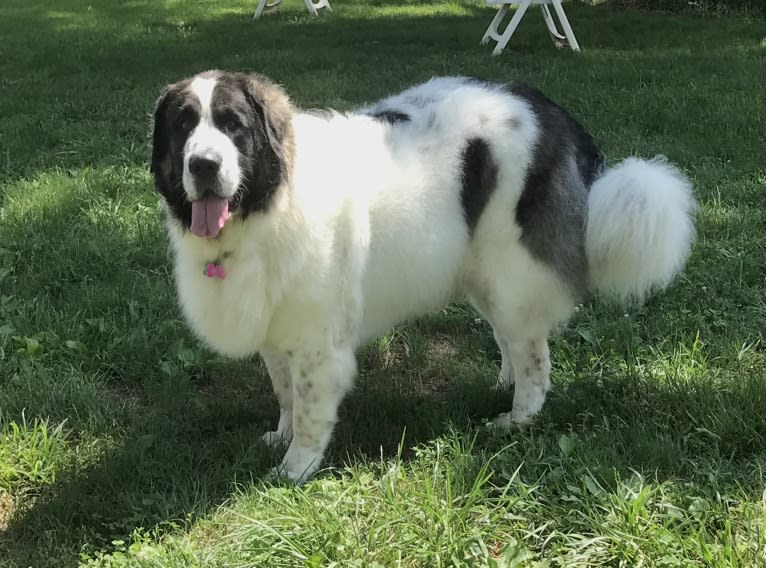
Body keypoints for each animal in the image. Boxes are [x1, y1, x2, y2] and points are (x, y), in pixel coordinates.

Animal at [150, 69, 696, 482]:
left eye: (233, 125)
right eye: (183, 125)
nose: (203, 164)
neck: (269, 203)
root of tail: (550, 111)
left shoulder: (317, 343)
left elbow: (308, 408)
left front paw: (294, 469)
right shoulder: (275, 325)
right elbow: (285, 391)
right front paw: (279, 435)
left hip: (511, 272)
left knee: (535, 357)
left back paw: (517, 418)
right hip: (481, 271)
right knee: (512, 340)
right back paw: (504, 382)